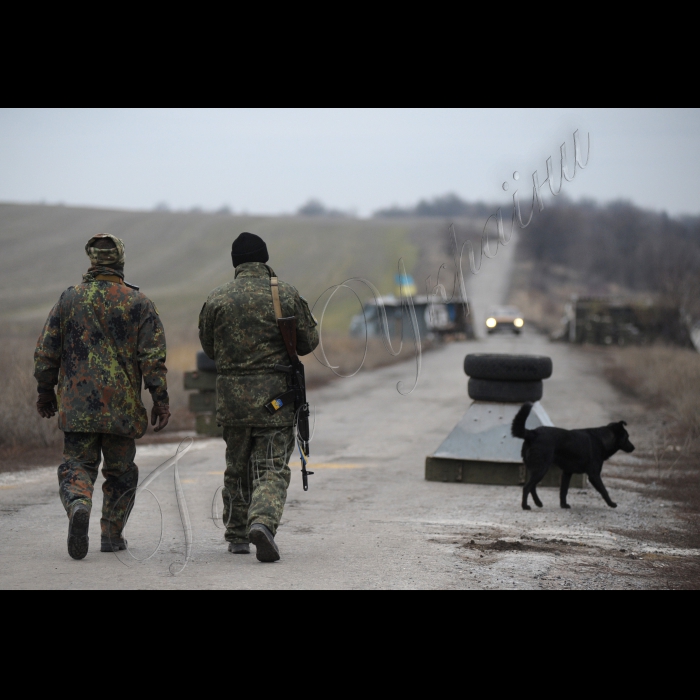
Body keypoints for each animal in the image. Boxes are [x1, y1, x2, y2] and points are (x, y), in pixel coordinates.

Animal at [508, 402, 636, 512]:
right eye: (627, 437)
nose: (633, 447)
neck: (602, 439)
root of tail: (532, 433)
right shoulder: (594, 475)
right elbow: (604, 490)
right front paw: (612, 504)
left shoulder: (567, 472)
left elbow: (563, 491)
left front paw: (563, 505)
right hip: (541, 468)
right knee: (527, 487)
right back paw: (525, 506)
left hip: (535, 469)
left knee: (532, 487)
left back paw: (538, 503)